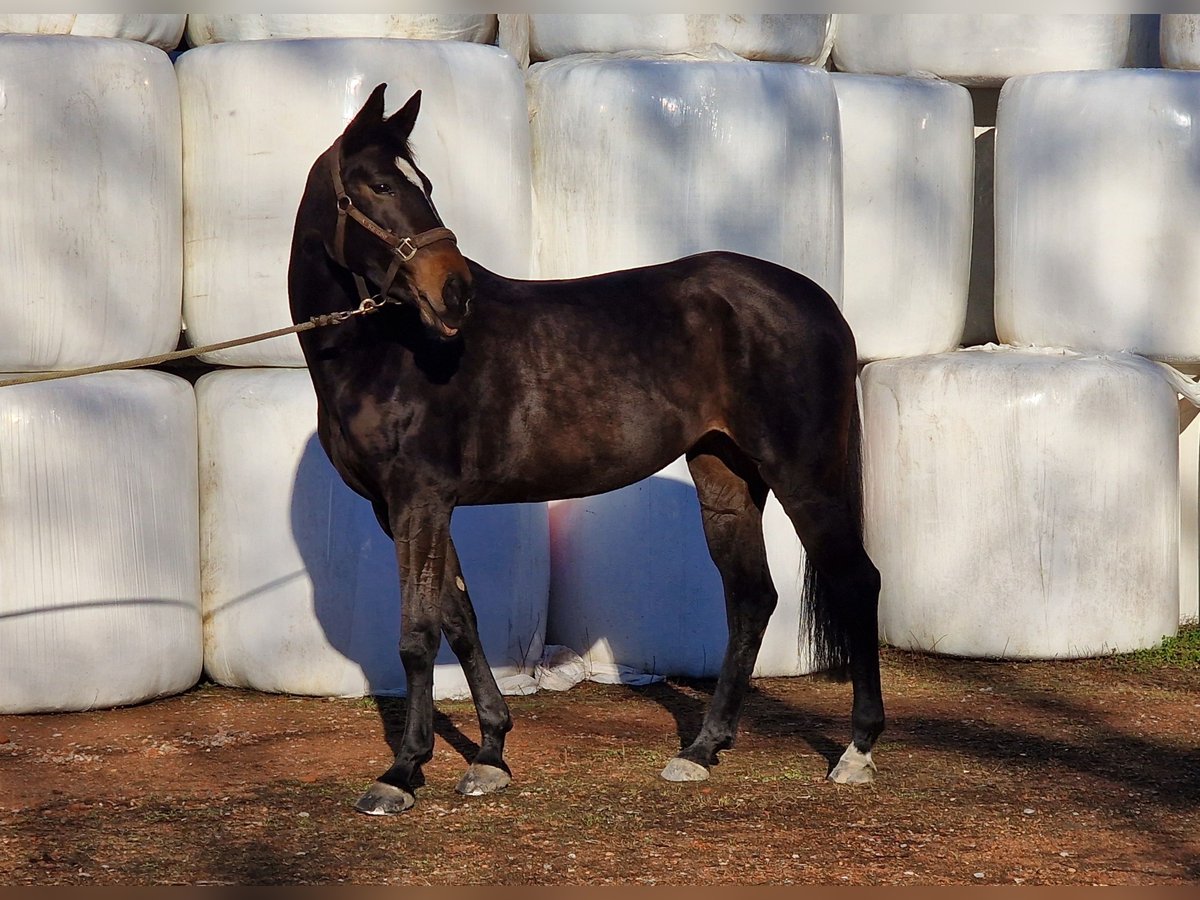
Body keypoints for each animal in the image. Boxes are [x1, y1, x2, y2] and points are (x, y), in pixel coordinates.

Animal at [283, 84, 883, 816]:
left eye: (419, 184)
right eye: (376, 185)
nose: (455, 291)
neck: (386, 351)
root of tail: (818, 301)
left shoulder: (417, 500)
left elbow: (419, 633)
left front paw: (402, 772)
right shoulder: (408, 508)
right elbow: (461, 617)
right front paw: (490, 753)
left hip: (806, 476)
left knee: (856, 582)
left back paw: (855, 752)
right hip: (726, 476)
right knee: (750, 598)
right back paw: (701, 750)